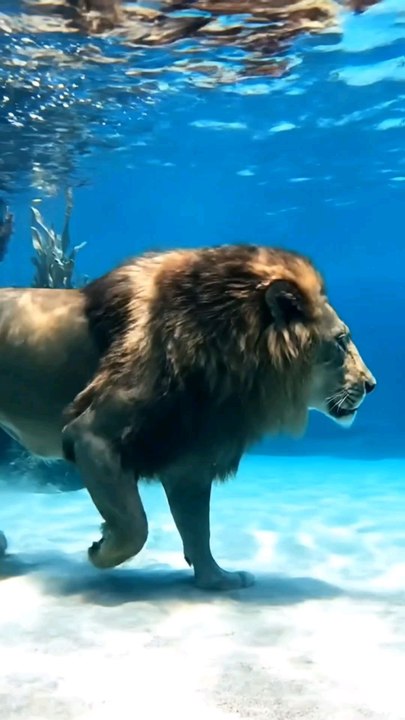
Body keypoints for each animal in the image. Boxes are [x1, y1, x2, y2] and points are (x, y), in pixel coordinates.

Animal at [0, 244, 376, 590]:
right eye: (341, 341)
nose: (372, 385)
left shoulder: (191, 454)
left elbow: (197, 528)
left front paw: (217, 579)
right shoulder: (91, 433)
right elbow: (136, 526)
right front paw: (101, 549)